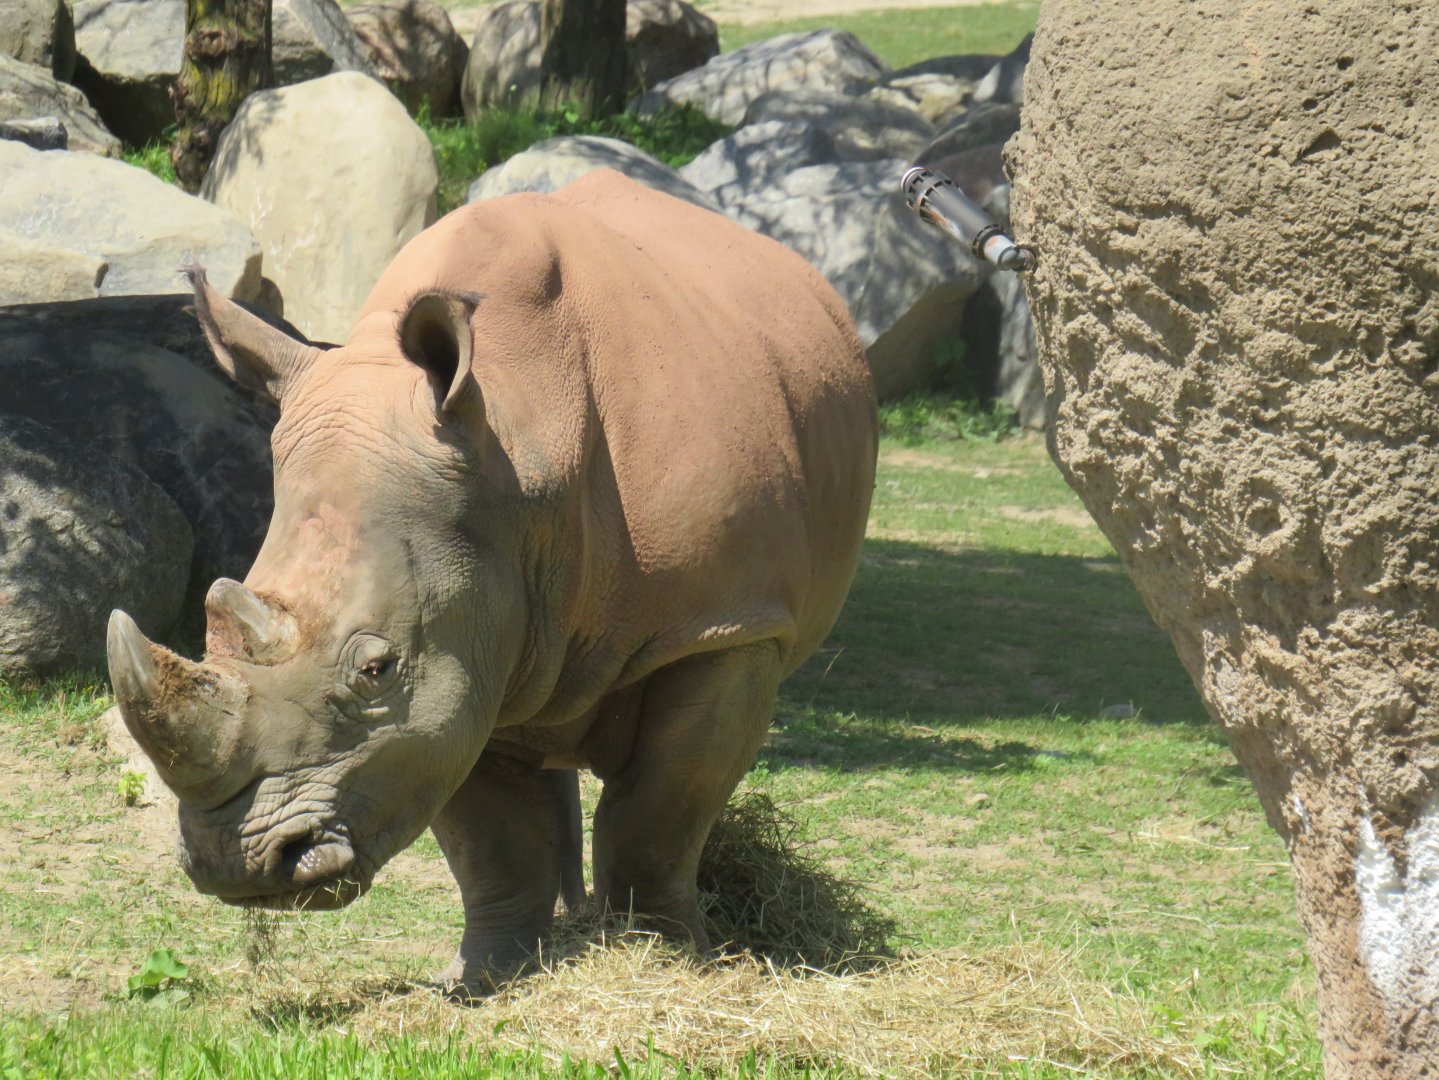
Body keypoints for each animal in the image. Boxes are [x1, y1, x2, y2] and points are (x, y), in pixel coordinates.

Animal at [106, 169, 877, 993]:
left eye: (376, 670)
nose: (239, 866)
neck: (521, 449)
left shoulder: (724, 626)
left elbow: (660, 812)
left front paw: (667, 958)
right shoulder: (463, 630)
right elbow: (491, 837)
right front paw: (487, 980)